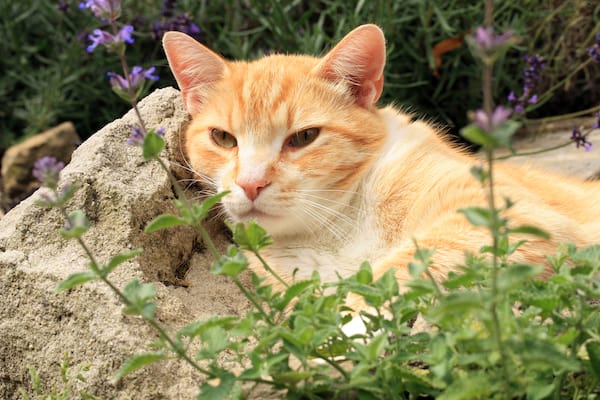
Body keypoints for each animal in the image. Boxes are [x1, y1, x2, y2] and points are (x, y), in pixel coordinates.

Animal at [162, 24, 600, 300]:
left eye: (303, 137)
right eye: (223, 138)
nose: (251, 184)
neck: (337, 229)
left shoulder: (503, 216)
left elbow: (393, 275)